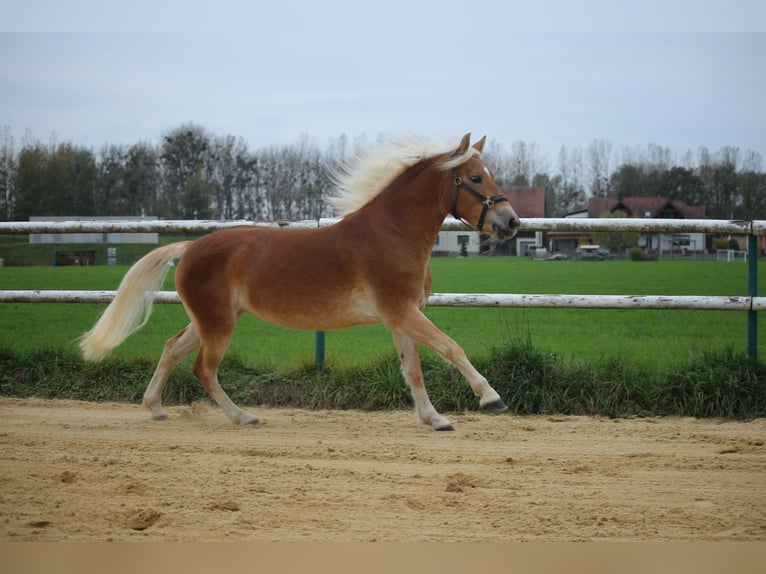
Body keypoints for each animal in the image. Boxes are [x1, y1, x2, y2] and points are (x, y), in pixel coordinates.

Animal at [79, 134, 520, 432]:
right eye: (476, 178)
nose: (511, 222)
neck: (393, 234)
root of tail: (190, 247)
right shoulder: (401, 310)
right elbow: (450, 347)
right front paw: (491, 398)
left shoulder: (401, 315)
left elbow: (412, 368)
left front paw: (434, 419)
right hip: (218, 324)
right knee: (203, 369)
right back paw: (244, 416)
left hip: (210, 319)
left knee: (172, 350)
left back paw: (155, 407)